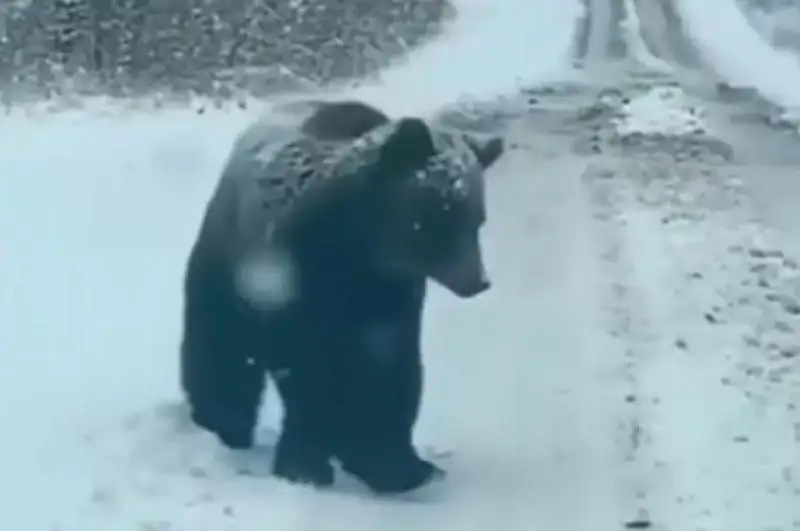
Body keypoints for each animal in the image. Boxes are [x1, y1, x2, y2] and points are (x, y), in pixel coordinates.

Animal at [179, 99, 504, 494]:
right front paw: (306, 464)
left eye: (477, 219)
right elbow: (306, 369)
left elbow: (388, 365)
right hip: (225, 265)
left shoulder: (390, 294)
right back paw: (221, 426)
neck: (360, 244)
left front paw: (398, 465)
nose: (478, 281)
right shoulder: (297, 280)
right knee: (221, 349)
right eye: (440, 217)